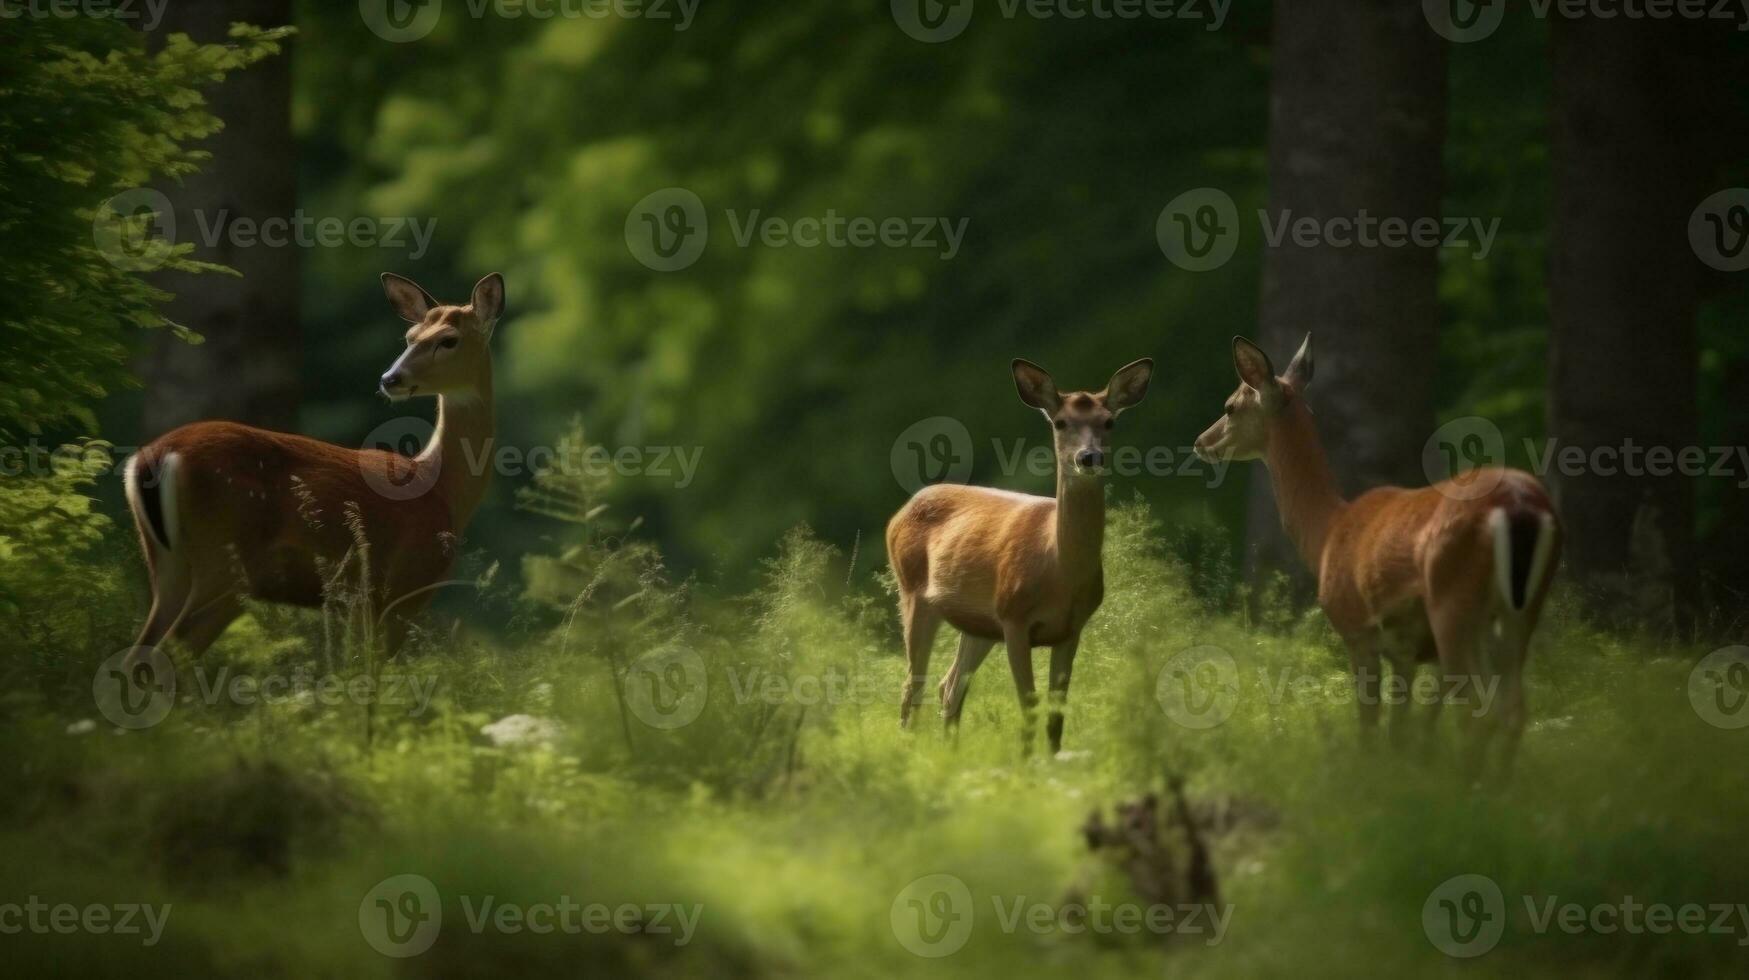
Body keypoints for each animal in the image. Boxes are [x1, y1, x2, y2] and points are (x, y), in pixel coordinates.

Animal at [121, 271, 507, 661]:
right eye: (410, 337)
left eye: (448, 340)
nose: (390, 379)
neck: (444, 489)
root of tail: (156, 457)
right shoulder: (401, 592)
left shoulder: (359, 603)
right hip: (224, 560)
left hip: (168, 565)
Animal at [881, 358, 1154, 749]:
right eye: (1060, 422)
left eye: (1109, 421)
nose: (1089, 457)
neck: (1058, 569)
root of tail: (900, 512)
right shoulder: (1014, 618)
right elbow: (1029, 705)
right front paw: (1026, 759)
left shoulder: (1071, 628)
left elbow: (1056, 715)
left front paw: (1053, 759)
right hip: (915, 593)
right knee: (912, 688)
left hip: (977, 624)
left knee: (949, 687)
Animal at [1196, 332, 1567, 777]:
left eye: (1230, 407)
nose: (1201, 441)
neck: (1328, 533)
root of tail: (1520, 505)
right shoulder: (1405, 651)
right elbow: (1402, 731)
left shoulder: (1357, 629)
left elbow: (1371, 727)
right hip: (1521, 611)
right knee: (1512, 710)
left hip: (1454, 604)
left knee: (1478, 712)